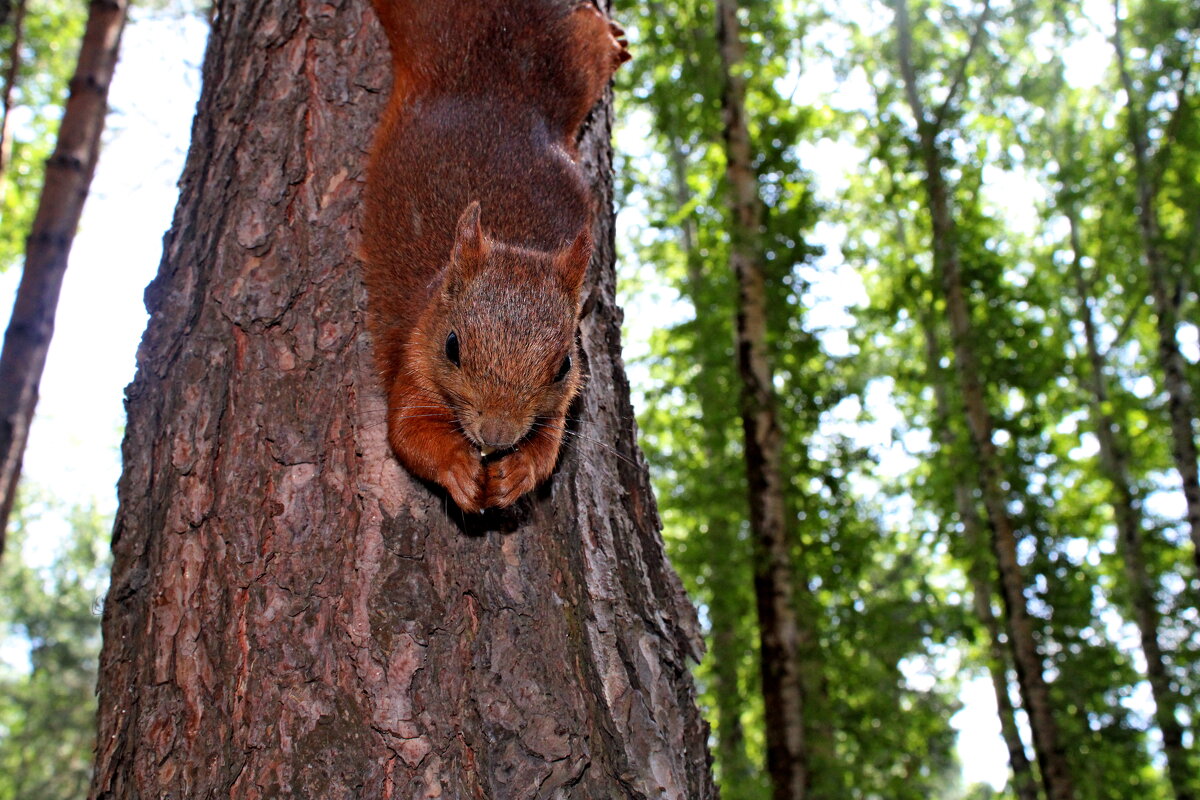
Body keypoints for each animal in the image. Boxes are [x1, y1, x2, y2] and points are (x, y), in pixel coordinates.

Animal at [362, 0, 633, 513]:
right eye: (452, 346)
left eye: (564, 366)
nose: (497, 435)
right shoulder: (412, 357)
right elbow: (407, 432)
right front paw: (459, 469)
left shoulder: (564, 400)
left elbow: (549, 444)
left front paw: (518, 472)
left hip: (571, 65)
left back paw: (614, 40)